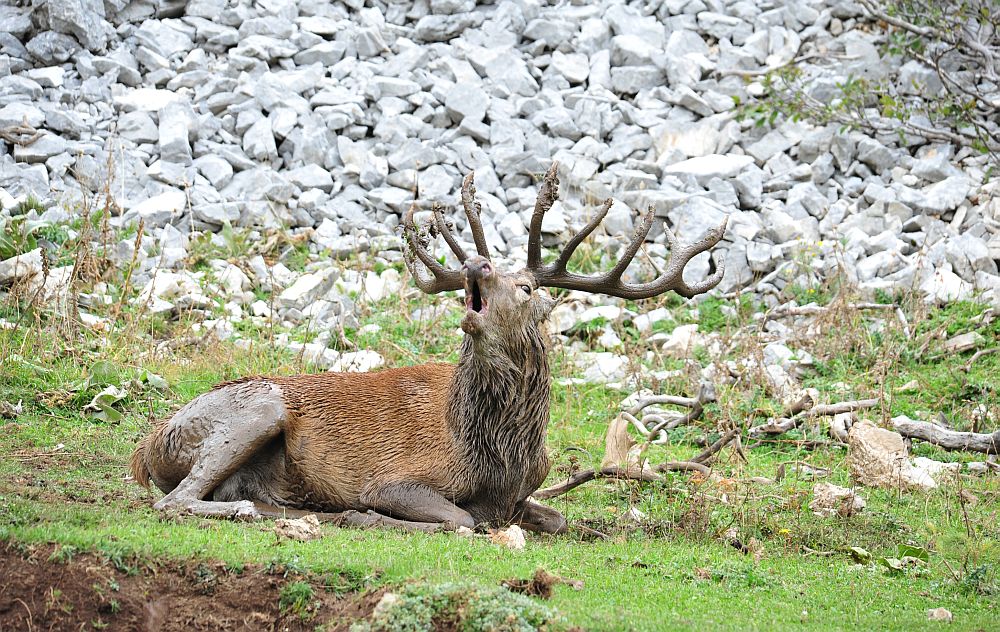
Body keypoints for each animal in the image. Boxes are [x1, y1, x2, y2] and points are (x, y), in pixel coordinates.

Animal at [133, 162, 728, 532]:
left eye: (527, 287)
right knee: (175, 501)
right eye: (496, 273)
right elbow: (461, 518)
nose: (476, 264)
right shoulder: (394, 479)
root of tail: (145, 449)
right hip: (257, 407)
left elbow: (557, 518)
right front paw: (369, 516)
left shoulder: (525, 491)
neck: (496, 454)